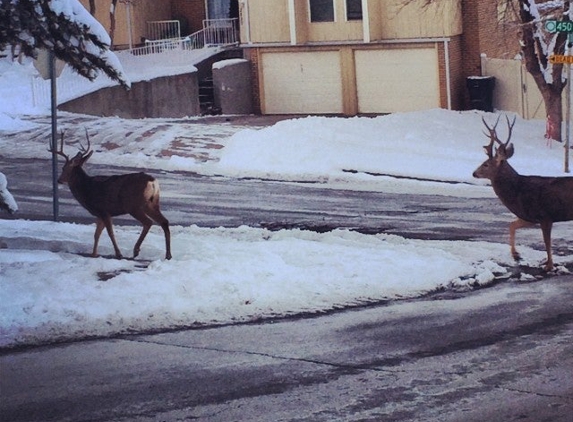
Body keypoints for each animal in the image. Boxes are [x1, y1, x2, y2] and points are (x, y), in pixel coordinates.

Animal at [51, 130, 171, 258]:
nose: (59, 180)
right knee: (164, 221)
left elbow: (110, 233)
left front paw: (118, 254)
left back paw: (136, 250)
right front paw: (94, 254)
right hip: (152, 203)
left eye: (64, 168)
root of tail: (152, 181)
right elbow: (96, 234)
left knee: (148, 222)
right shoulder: (99, 213)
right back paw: (168, 255)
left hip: (133, 205)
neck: (87, 189)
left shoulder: (104, 211)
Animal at [474, 115, 572, 272]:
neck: (518, 191)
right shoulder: (530, 216)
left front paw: (549, 265)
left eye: (486, 164)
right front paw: (516, 255)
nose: (474, 173)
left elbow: (547, 242)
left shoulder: (545, 215)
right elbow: (512, 225)